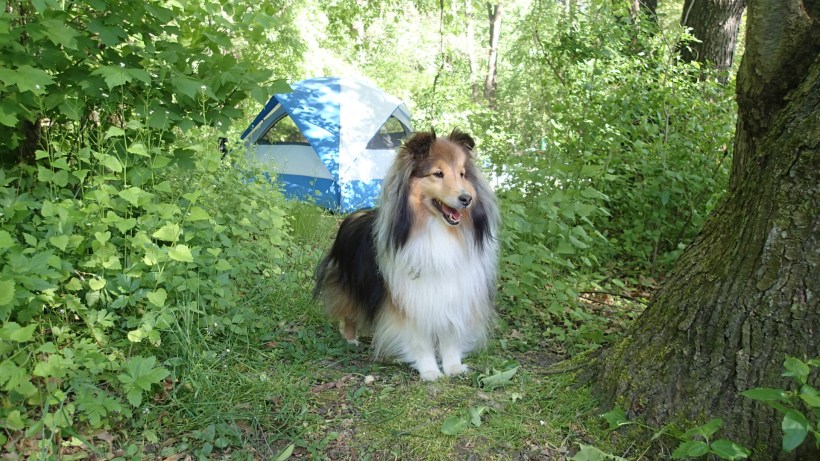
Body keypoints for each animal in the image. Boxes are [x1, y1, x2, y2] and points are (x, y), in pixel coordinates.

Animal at [314, 129, 500, 381]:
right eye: (438, 174)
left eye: (462, 174)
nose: (466, 199)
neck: (436, 229)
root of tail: (354, 215)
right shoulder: (409, 299)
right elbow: (419, 340)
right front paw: (430, 371)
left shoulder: (456, 294)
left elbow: (451, 337)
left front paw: (452, 367)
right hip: (349, 285)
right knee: (349, 313)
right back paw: (351, 340)